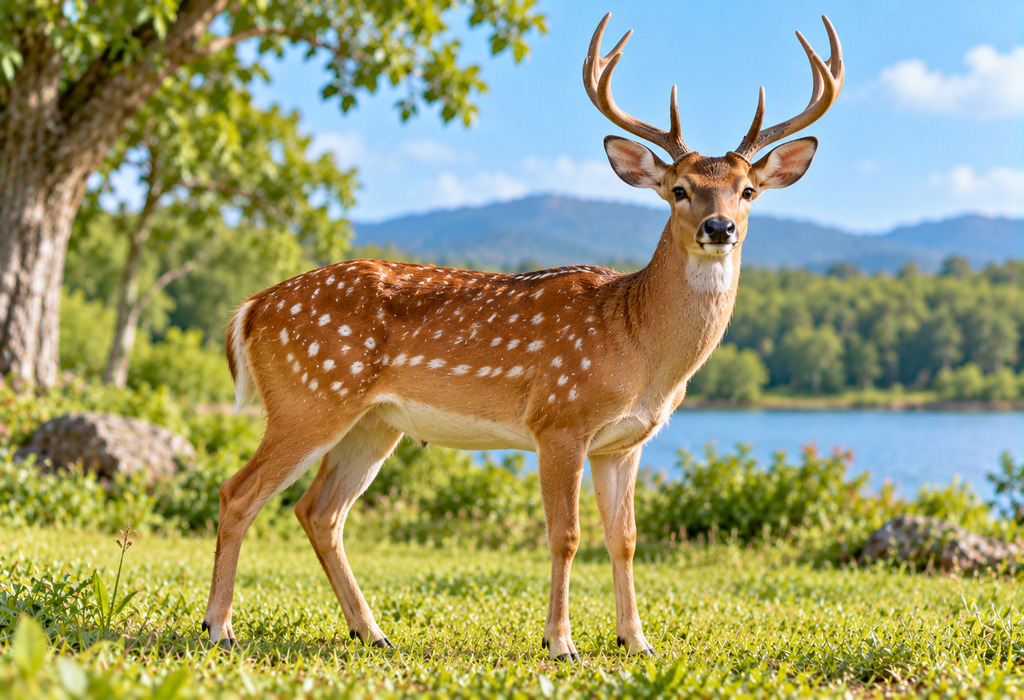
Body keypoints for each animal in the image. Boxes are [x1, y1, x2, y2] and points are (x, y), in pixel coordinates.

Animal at [202, 13, 843, 661]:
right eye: (679, 189)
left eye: (748, 191)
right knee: (239, 493)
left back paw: (371, 630)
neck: (637, 344)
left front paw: (636, 641)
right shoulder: (559, 418)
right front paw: (560, 643)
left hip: (373, 421)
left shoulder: (625, 442)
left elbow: (625, 538)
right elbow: (566, 535)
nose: (720, 228)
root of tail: (250, 309)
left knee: (319, 511)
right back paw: (220, 628)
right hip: (308, 397)